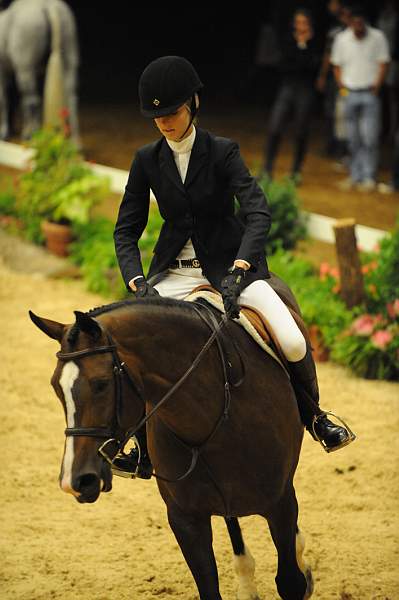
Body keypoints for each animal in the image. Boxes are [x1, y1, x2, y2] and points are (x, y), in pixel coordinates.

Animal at [0, 0, 79, 141]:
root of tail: (48, 5)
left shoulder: (4, 72)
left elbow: (4, 99)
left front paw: (4, 132)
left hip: (25, 69)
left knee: (32, 101)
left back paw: (30, 133)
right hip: (69, 60)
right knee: (71, 97)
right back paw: (74, 140)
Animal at [29, 296, 314, 600]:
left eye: (101, 384)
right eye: (56, 387)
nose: (76, 481)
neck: (211, 419)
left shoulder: (280, 503)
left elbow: (291, 583)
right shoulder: (185, 519)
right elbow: (209, 588)